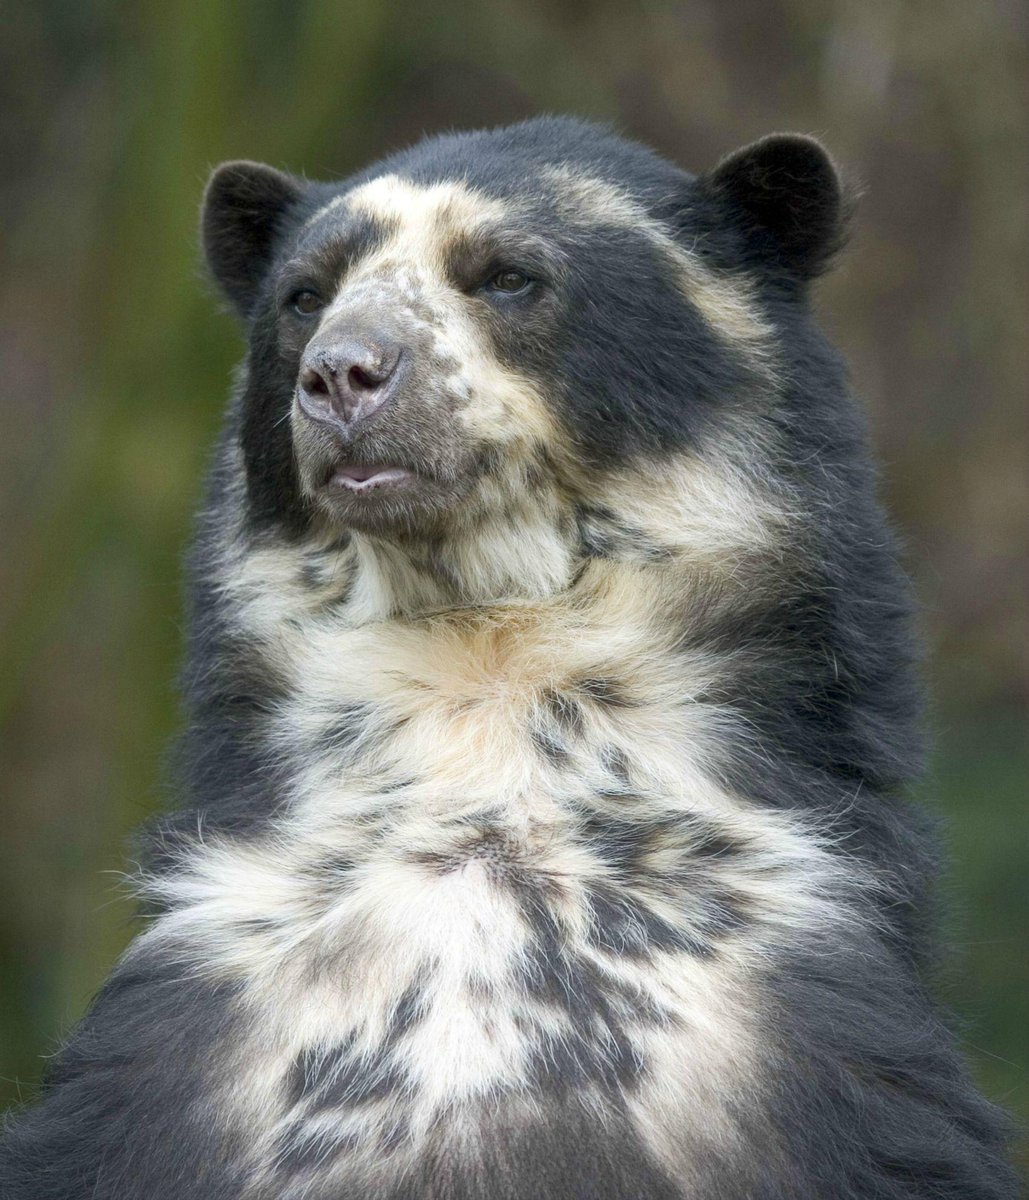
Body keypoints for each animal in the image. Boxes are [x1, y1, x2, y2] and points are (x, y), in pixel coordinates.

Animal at [0, 117, 1018, 1199]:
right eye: (304, 295)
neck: (488, 682)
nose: (342, 374)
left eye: (506, 277)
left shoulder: (811, 1035)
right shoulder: (184, 1034)